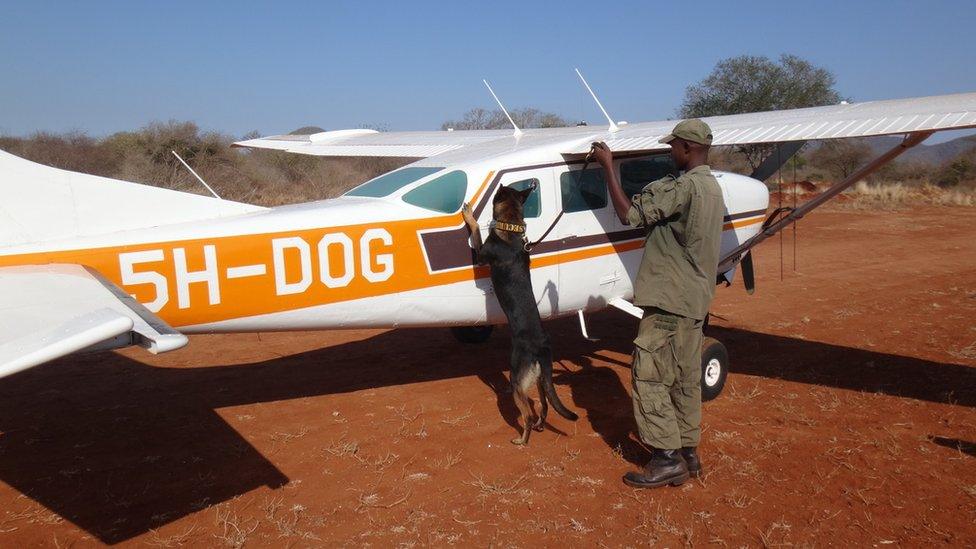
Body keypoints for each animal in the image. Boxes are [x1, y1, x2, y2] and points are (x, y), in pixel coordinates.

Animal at [460, 182, 576, 444]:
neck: (511, 229)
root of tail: (540, 348)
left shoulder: (481, 255)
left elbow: (476, 231)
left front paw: (470, 215)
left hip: (517, 382)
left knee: (528, 415)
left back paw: (522, 440)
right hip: (542, 380)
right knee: (545, 407)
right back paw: (541, 426)